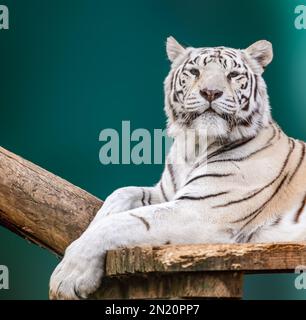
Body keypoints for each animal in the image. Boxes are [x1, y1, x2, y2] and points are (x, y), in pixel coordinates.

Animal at [49, 37, 306, 300]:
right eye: (195, 72)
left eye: (232, 75)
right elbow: (120, 195)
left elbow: (124, 222)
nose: (211, 92)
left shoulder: (201, 210)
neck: (195, 146)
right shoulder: (167, 193)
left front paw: (67, 276)